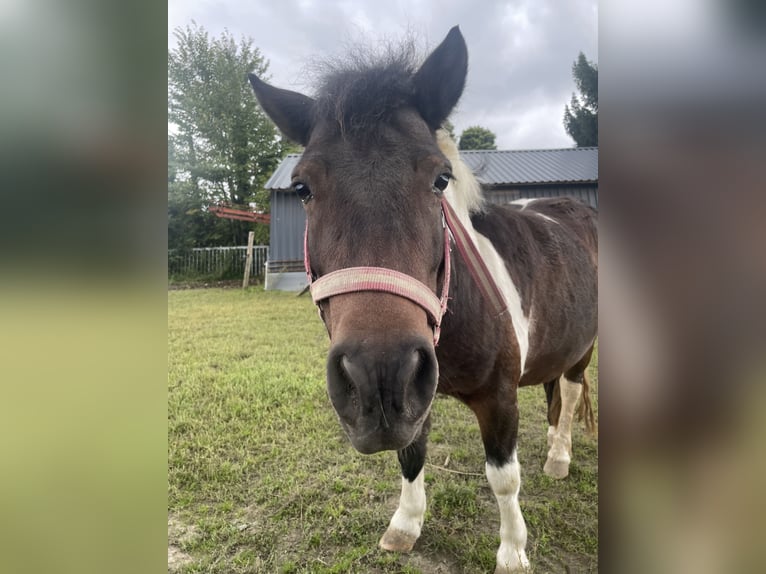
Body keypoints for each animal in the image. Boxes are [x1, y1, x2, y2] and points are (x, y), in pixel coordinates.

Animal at [249, 26, 597, 573]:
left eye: (440, 178)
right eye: (302, 187)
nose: (377, 378)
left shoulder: (499, 398)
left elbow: (504, 478)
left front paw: (513, 551)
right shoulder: (418, 399)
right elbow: (411, 455)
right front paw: (406, 525)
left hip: (583, 351)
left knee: (572, 390)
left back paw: (559, 457)